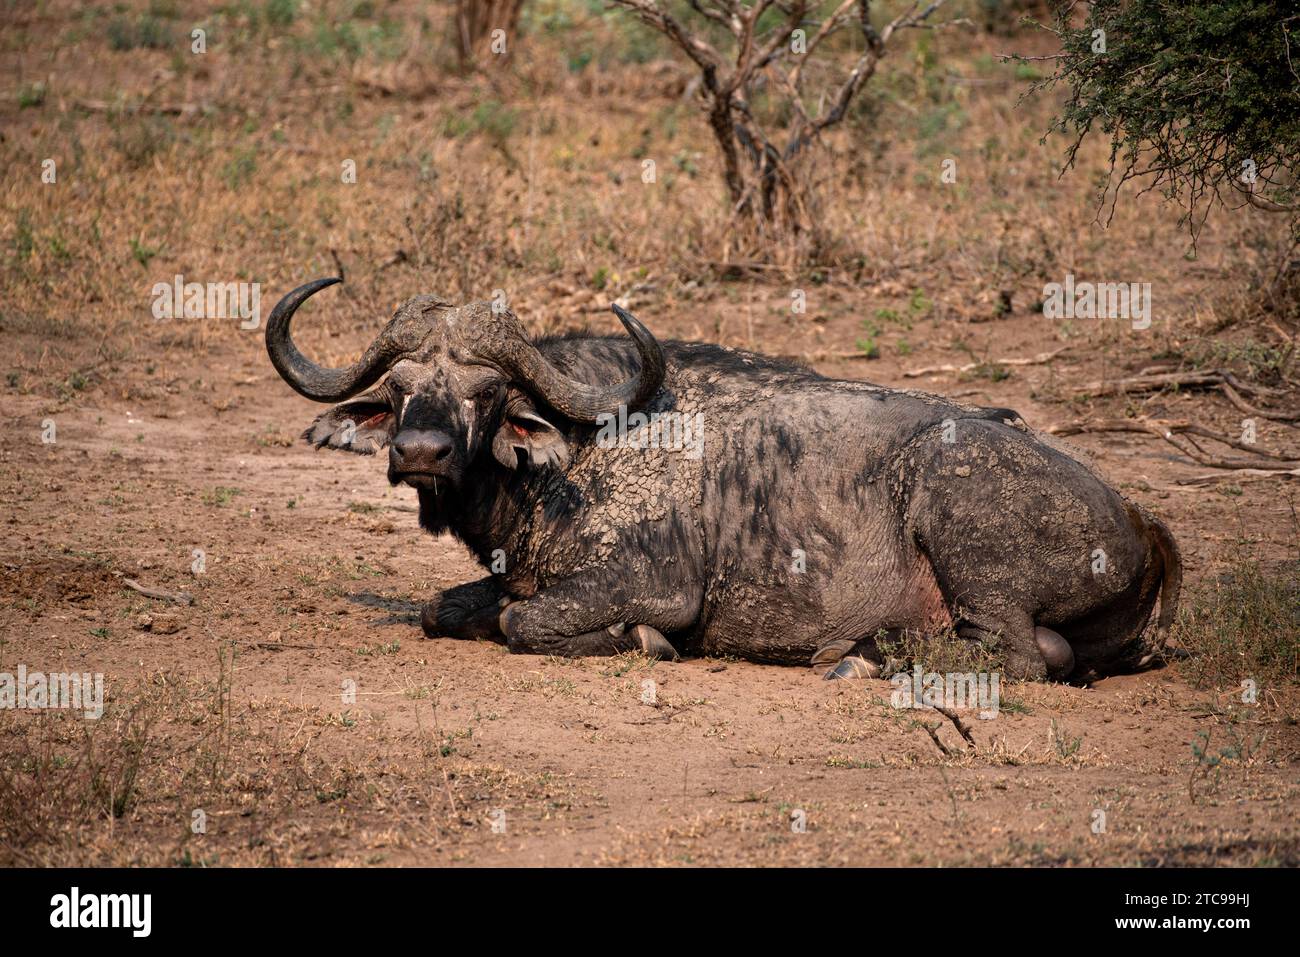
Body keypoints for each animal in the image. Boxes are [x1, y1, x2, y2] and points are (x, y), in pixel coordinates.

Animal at [266, 278, 1180, 681]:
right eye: (397, 387)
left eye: (485, 392)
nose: (420, 450)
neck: (577, 453)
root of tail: (1140, 518)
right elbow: (441, 608)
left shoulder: (646, 585)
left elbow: (527, 622)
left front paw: (641, 641)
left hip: (954, 508)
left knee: (1020, 653)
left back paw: (866, 657)